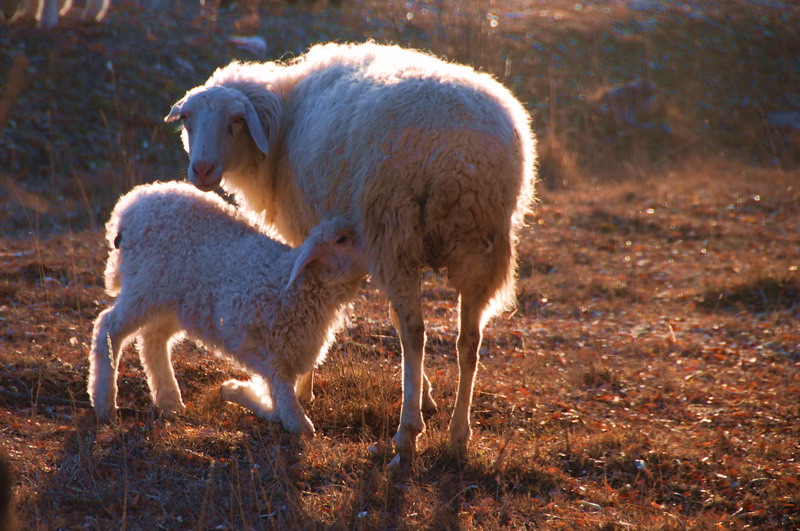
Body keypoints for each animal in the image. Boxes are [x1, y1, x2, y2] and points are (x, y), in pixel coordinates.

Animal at [87, 181, 366, 434]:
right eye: (342, 239)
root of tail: (131, 204)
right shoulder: (246, 336)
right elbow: (283, 392)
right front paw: (294, 419)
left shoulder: (289, 349)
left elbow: (276, 393)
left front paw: (236, 391)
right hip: (145, 286)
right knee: (109, 326)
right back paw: (104, 404)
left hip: (176, 302)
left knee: (152, 340)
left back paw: (170, 400)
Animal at [165, 41, 536, 462]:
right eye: (187, 121)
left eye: (236, 121)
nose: (202, 170)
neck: (283, 116)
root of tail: (460, 157)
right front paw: (425, 395)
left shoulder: (310, 229)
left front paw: (303, 388)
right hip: (478, 249)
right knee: (468, 342)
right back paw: (458, 434)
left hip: (394, 231)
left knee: (414, 334)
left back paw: (407, 432)